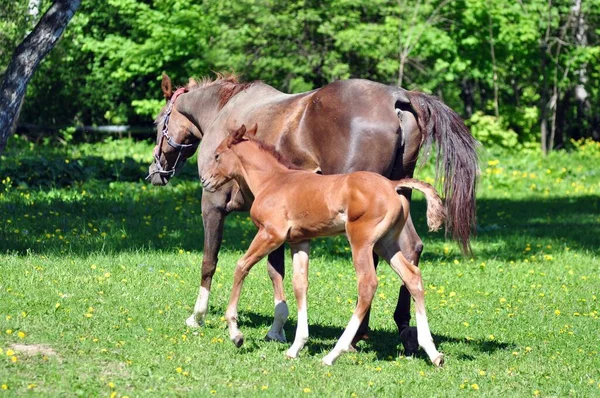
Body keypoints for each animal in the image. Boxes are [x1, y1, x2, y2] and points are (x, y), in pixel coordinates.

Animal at [204, 125, 442, 366]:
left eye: (217, 155)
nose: (205, 180)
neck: (272, 180)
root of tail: (392, 185)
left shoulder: (271, 234)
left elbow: (241, 266)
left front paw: (236, 334)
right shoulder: (299, 241)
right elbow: (300, 284)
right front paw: (296, 346)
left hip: (361, 241)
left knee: (367, 284)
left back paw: (334, 353)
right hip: (386, 243)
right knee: (412, 277)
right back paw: (433, 352)